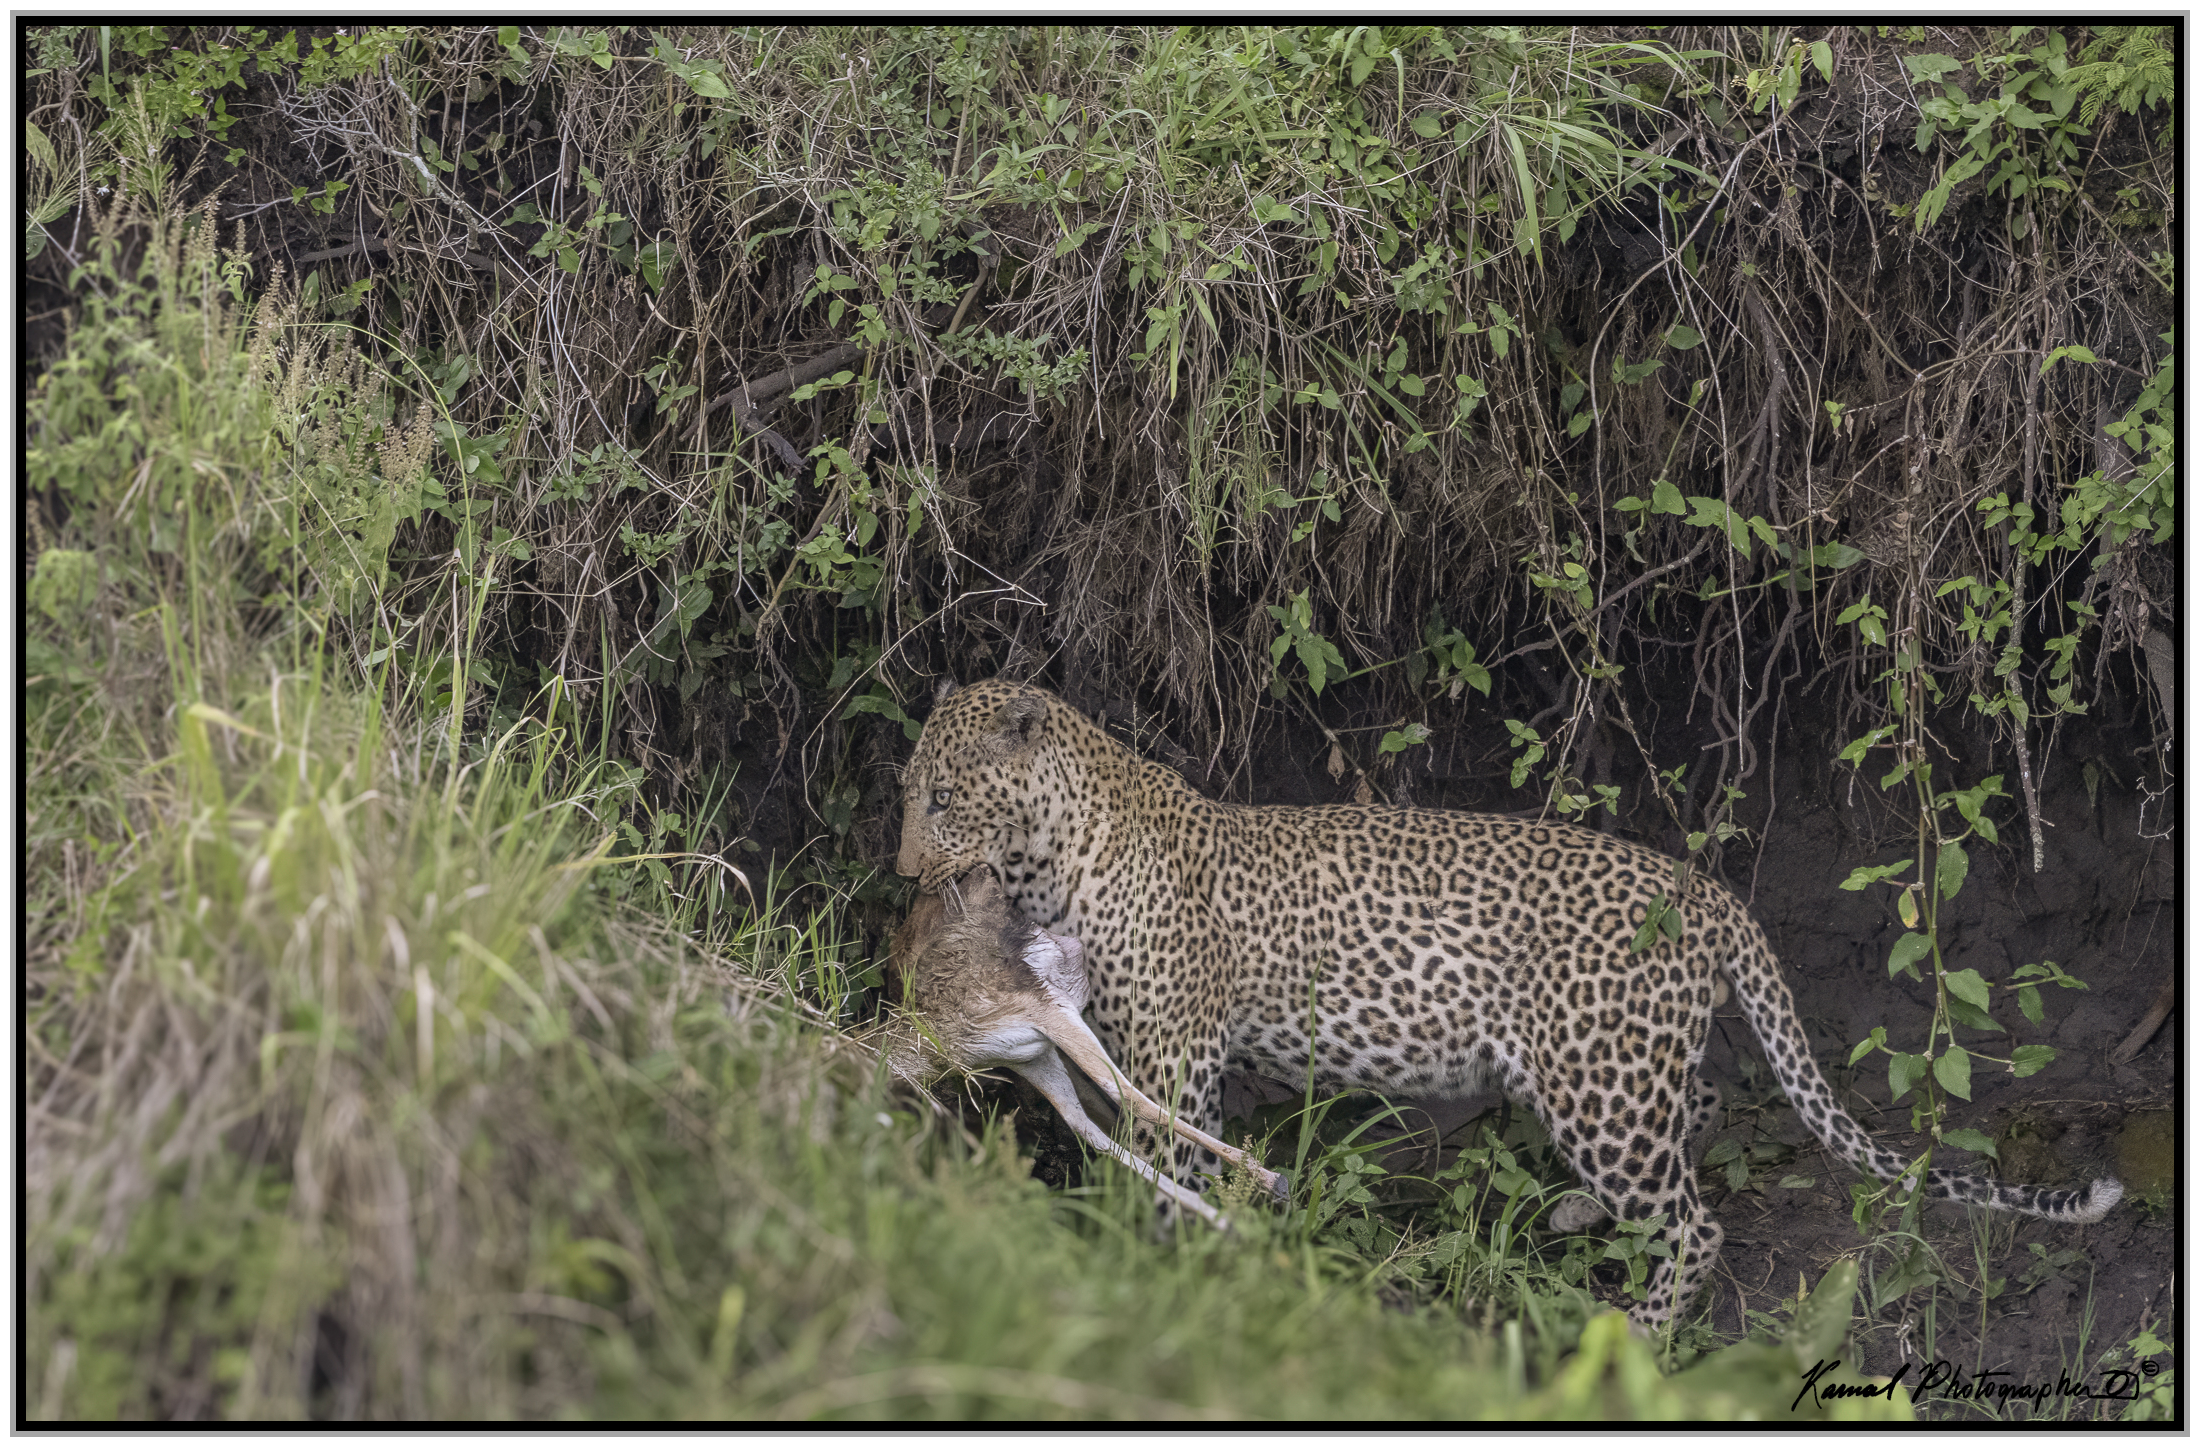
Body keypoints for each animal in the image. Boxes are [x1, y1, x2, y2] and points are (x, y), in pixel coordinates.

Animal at [894, 677, 2123, 1325]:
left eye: (942, 798)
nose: (901, 869)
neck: (1051, 855)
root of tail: (1703, 887)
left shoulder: (1174, 1045)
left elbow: (1166, 1150)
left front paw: (1143, 1260)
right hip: (1611, 1067)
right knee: (1701, 1119)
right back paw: (1582, 1215)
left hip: (1596, 1079)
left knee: (1697, 1219)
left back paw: (1639, 1332)